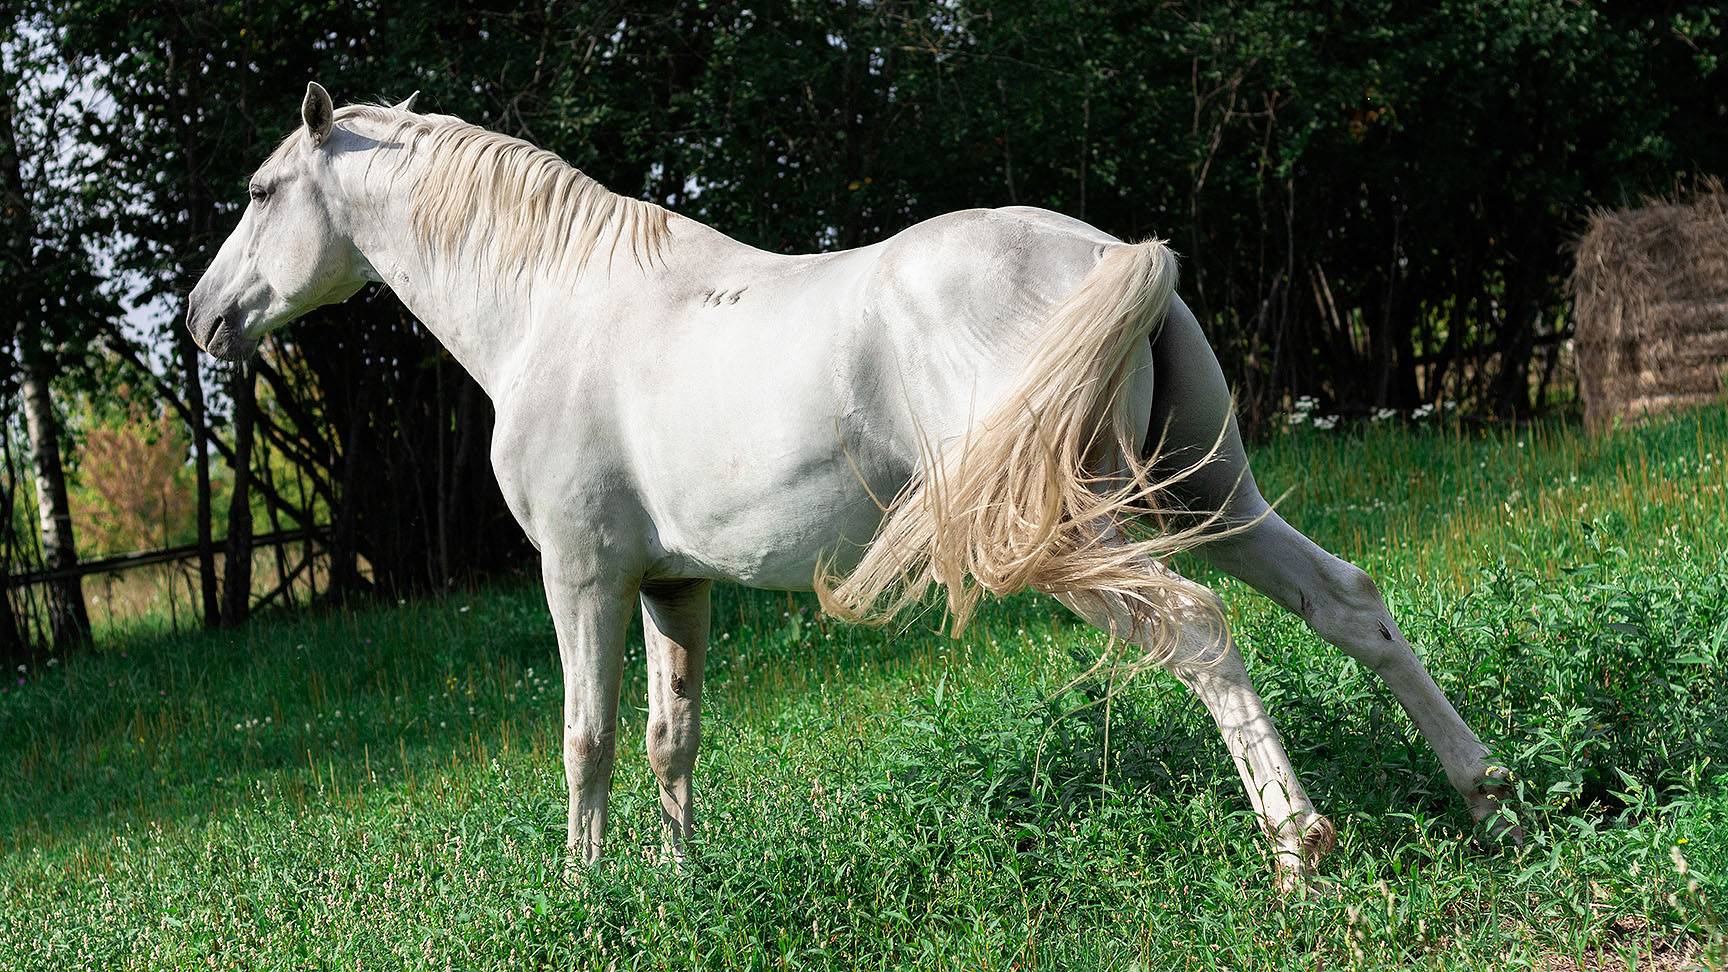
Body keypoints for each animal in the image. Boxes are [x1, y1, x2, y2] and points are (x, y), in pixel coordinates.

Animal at [187, 82, 1517, 888]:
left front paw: (585, 895)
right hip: (1211, 504)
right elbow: (672, 737)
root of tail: (1115, 257)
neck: (559, 306)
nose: (202, 319)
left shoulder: (583, 580)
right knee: (1346, 603)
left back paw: (1299, 851)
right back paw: (1487, 795)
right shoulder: (673, 587)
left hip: (1092, 536)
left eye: (257, 194)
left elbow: (587, 739)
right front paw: (677, 888)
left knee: (1194, 631)